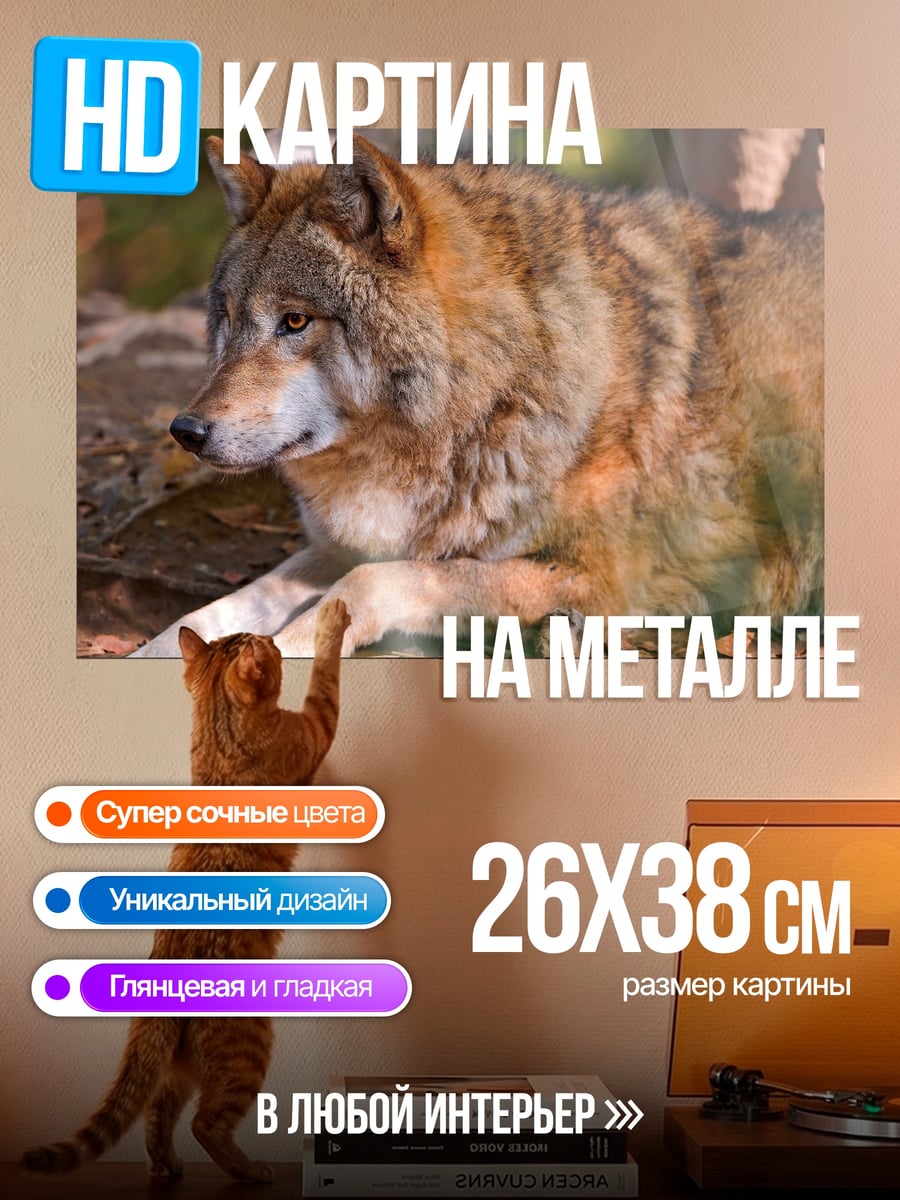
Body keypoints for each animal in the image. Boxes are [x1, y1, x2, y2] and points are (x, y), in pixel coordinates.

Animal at [133, 135, 823, 657]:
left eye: (295, 321)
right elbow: (212, 612)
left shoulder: (600, 577)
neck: (494, 395)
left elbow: (365, 587)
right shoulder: (336, 547)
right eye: (228, 316)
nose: (185, 431)